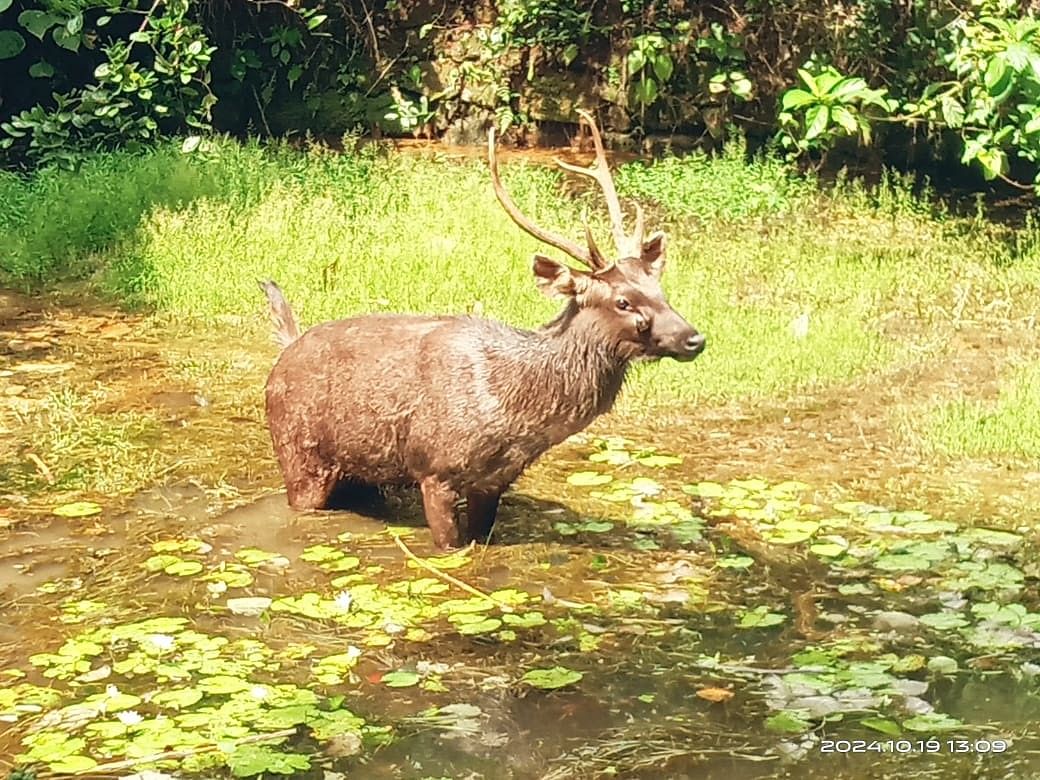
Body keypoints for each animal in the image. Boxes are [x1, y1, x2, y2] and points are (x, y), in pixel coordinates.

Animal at [257, 110, 707, 549]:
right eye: (623, 301)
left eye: (660, 288)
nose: (694, 338)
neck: (516, 413)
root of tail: (287, 345)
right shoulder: (435, 468)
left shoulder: (494, 481)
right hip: (299, 453)